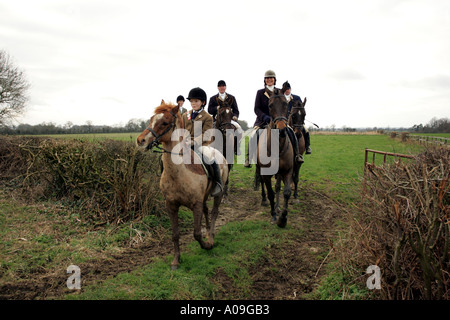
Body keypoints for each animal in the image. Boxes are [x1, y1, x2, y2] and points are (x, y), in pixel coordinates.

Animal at [136, 100, 229, 270]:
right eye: (151, 119)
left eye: (164, 122)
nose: (141, 140)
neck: (178, 173)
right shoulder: (171, 205)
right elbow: (175, 234)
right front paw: (176, 261)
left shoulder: (196, 204)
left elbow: (196, 233)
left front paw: (206, 245)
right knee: (207, 210)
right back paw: (208, 234)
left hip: (218, 194)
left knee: (214, 212)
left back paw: (211, 238)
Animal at [256, 94, 296, 226]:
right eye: (270, 105)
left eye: (286, 104)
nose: (282, 130)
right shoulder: (266, 174)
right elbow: (271, 194)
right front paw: (273, 215)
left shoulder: (287, 171)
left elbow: (286, 192)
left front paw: (283, 218)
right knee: (263, 184)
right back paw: (264, 201)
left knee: (278, 186)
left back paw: (278, 208)